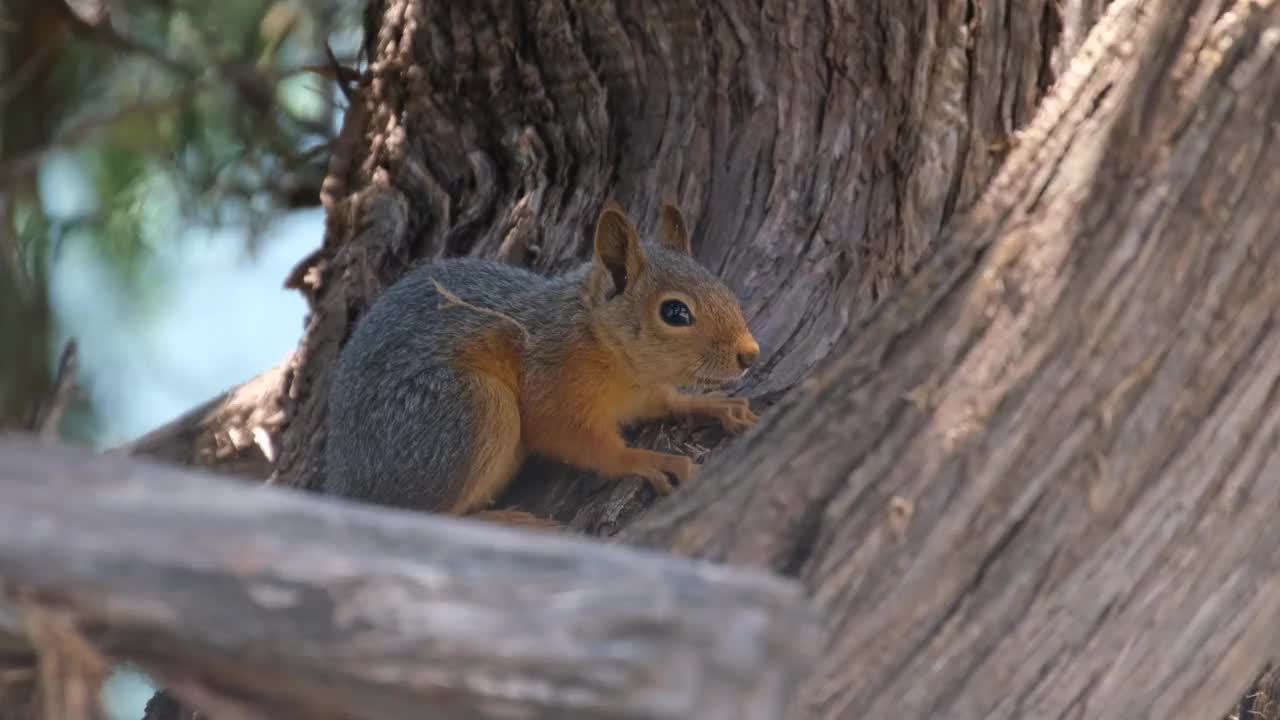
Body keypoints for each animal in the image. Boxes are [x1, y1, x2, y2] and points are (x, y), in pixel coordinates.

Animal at [322, 198, 757, 525]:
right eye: (675, 313)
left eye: (725, 289)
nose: (750, 354)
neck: (604, 345)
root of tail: (345, 486)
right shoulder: (552, 385)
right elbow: (575, 440)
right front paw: (647, 459)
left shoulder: (638, 392)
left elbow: (664, 400)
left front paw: (707, 403)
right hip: (465, 407)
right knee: (425, 515)